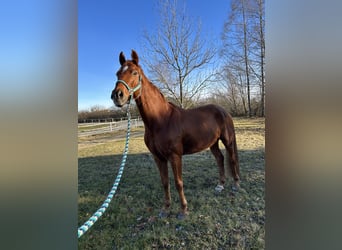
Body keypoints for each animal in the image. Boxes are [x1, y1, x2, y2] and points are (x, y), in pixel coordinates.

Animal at [111, 49, 239, 218]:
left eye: (134, 72)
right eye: (117, 73)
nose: (117, 95)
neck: (161, 119)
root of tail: (223, 111)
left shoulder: (175, 156)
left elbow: (178, 182)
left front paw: (183, 210)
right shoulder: (158, 158)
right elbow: (165, 182)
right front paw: (165, 209)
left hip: (227, 140)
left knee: (232, 159)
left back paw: (236, 185)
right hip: (213, 143)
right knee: (220, 158)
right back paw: (220, 185)